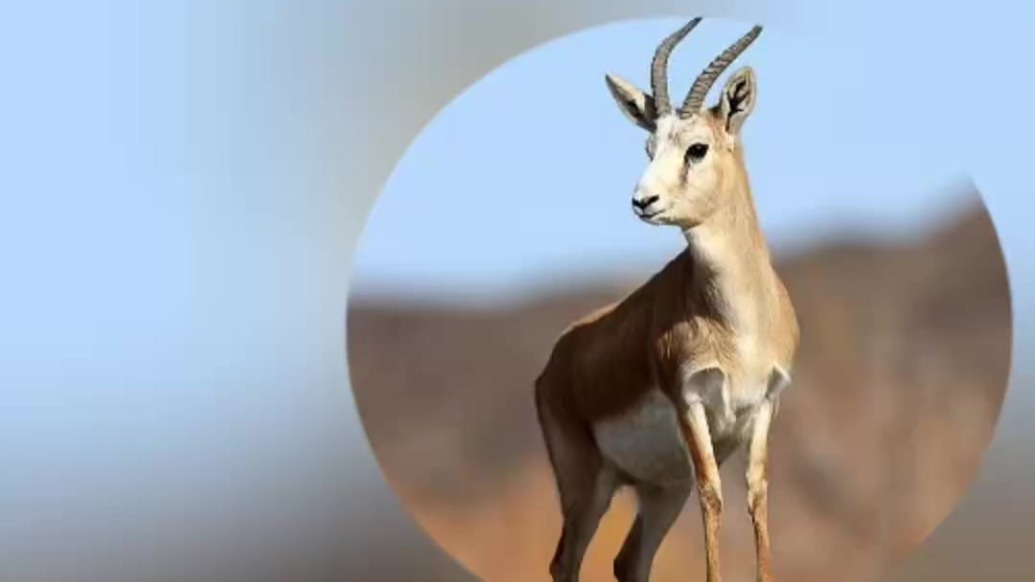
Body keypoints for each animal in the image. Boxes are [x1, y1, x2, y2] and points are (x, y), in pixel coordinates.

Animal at [533, 18, 799, 582]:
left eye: (697, 148)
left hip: (659, 489)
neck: (738, 323)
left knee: (629, 560)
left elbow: (756, 496)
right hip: (589, 488)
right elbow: (714, 496)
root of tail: (554, 362)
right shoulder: (690, 401)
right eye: (648, 148)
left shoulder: (765, 403)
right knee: (565, 561)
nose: (642, 201)